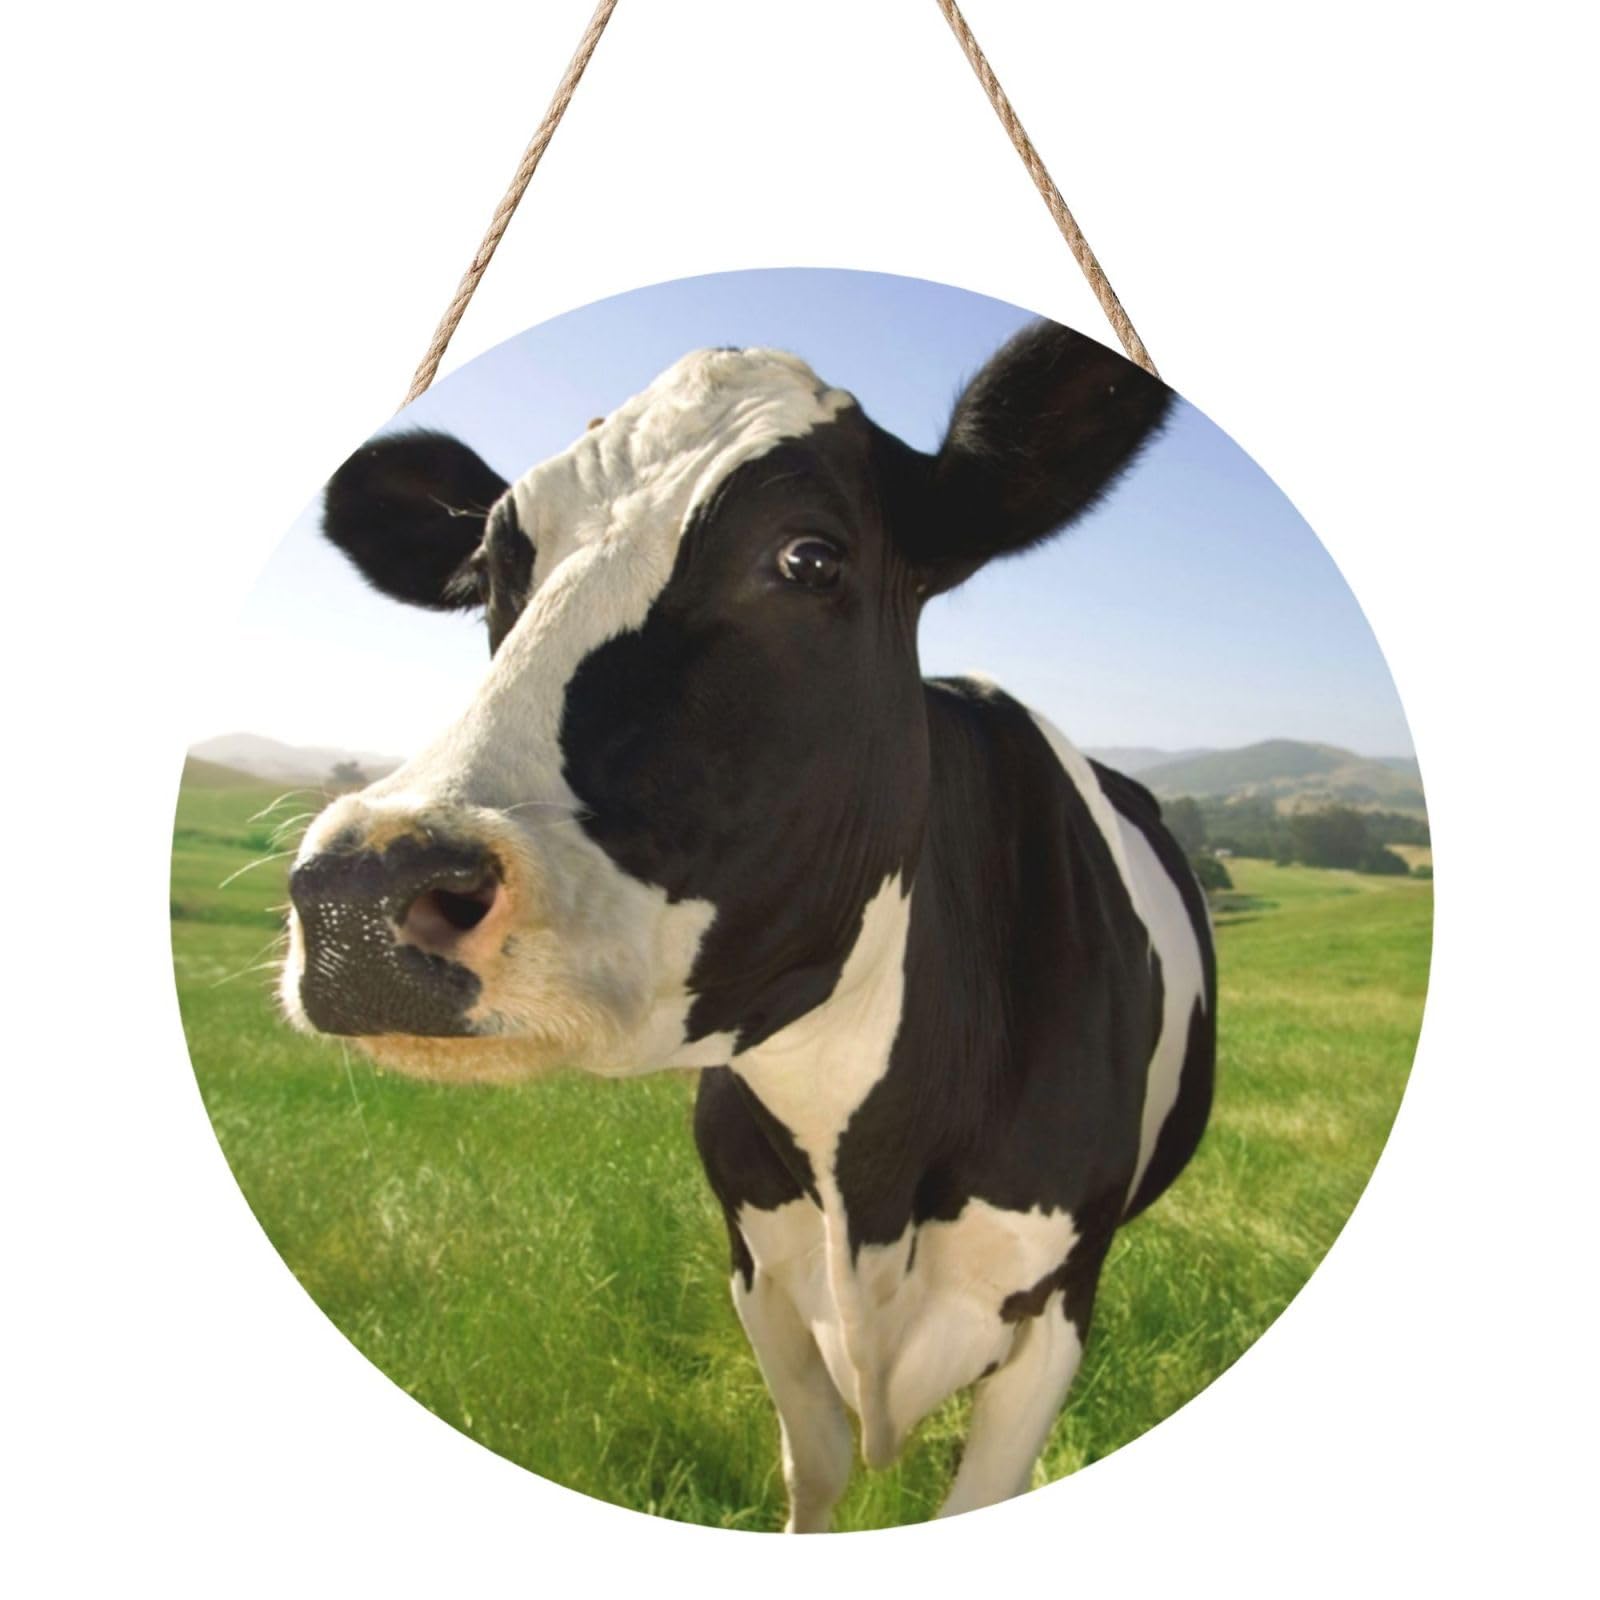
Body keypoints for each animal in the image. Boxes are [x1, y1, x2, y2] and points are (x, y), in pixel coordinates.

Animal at [281, 322, 1216, 1529]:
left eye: (808, 558)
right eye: (492, 575)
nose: (358, 891)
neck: (866, 1172)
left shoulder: (1055, 1304)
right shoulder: (757, 1270)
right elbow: (812, 1472)